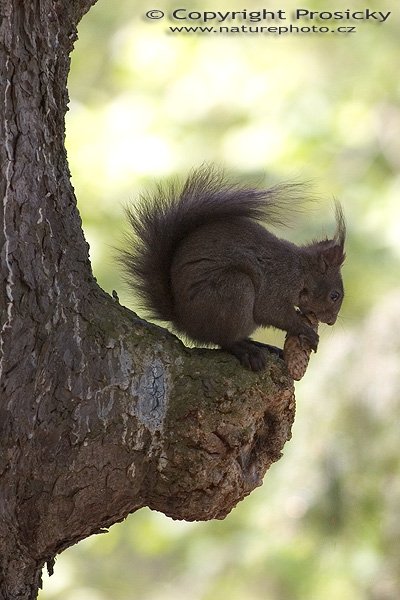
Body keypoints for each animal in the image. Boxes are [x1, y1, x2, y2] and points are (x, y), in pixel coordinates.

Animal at [120, 164, 346, 370]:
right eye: (334, 296)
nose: (332, 322)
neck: (302, 270)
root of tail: (184, 322)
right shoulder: (278, 281)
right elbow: (271, 311)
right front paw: (306, 331)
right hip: (234, 290)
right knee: (224, 340)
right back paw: (246, 350)